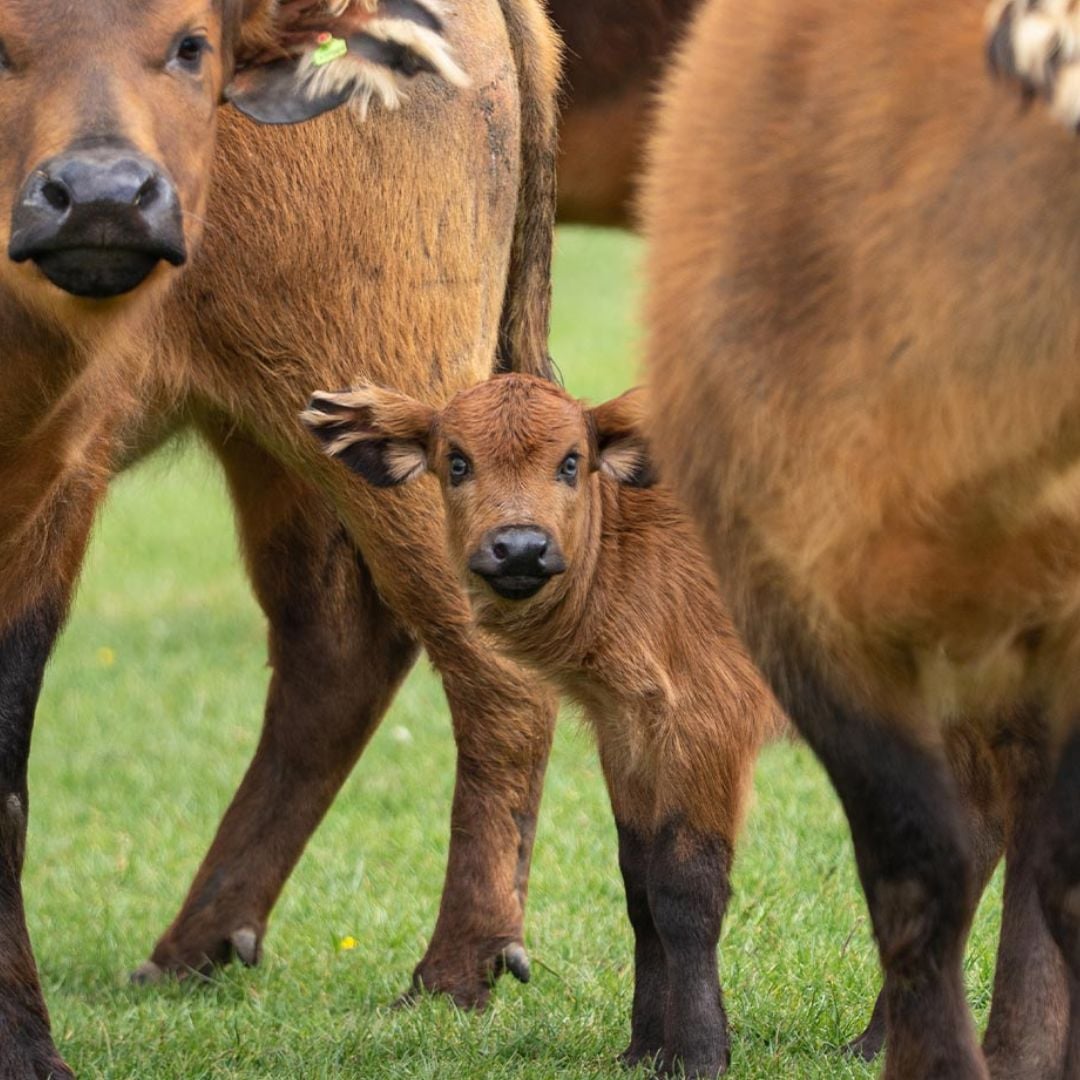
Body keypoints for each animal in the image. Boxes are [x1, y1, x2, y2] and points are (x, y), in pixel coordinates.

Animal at [0, 0, 561, 1075]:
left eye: (192, 44)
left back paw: (452, 975)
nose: (100, 197)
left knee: (495, 666)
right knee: (336, 650)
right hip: (286, 444)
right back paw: (192, 950)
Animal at [300, 372, 782, 1077]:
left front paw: (698, 1055)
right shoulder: (624, 727)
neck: (629, 557)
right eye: (456, 461)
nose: (520, 547)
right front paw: (643, 1049)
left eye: (571, 462)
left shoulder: (708, 720)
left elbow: (688, 891)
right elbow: (640, 887)